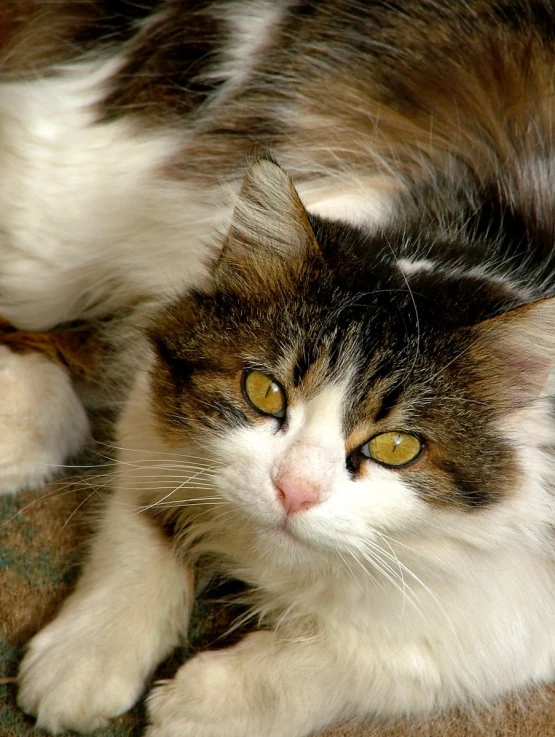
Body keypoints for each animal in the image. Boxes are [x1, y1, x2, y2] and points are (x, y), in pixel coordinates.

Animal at [3, 1, 555, 736]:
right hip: (54, 235)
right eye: (265, 391)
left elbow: (353, 664)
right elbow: (138, 531)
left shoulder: (505, 616)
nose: (293, 491)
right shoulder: (158, 409)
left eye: (396, 447)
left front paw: (203, 705)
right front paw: (86, 656)